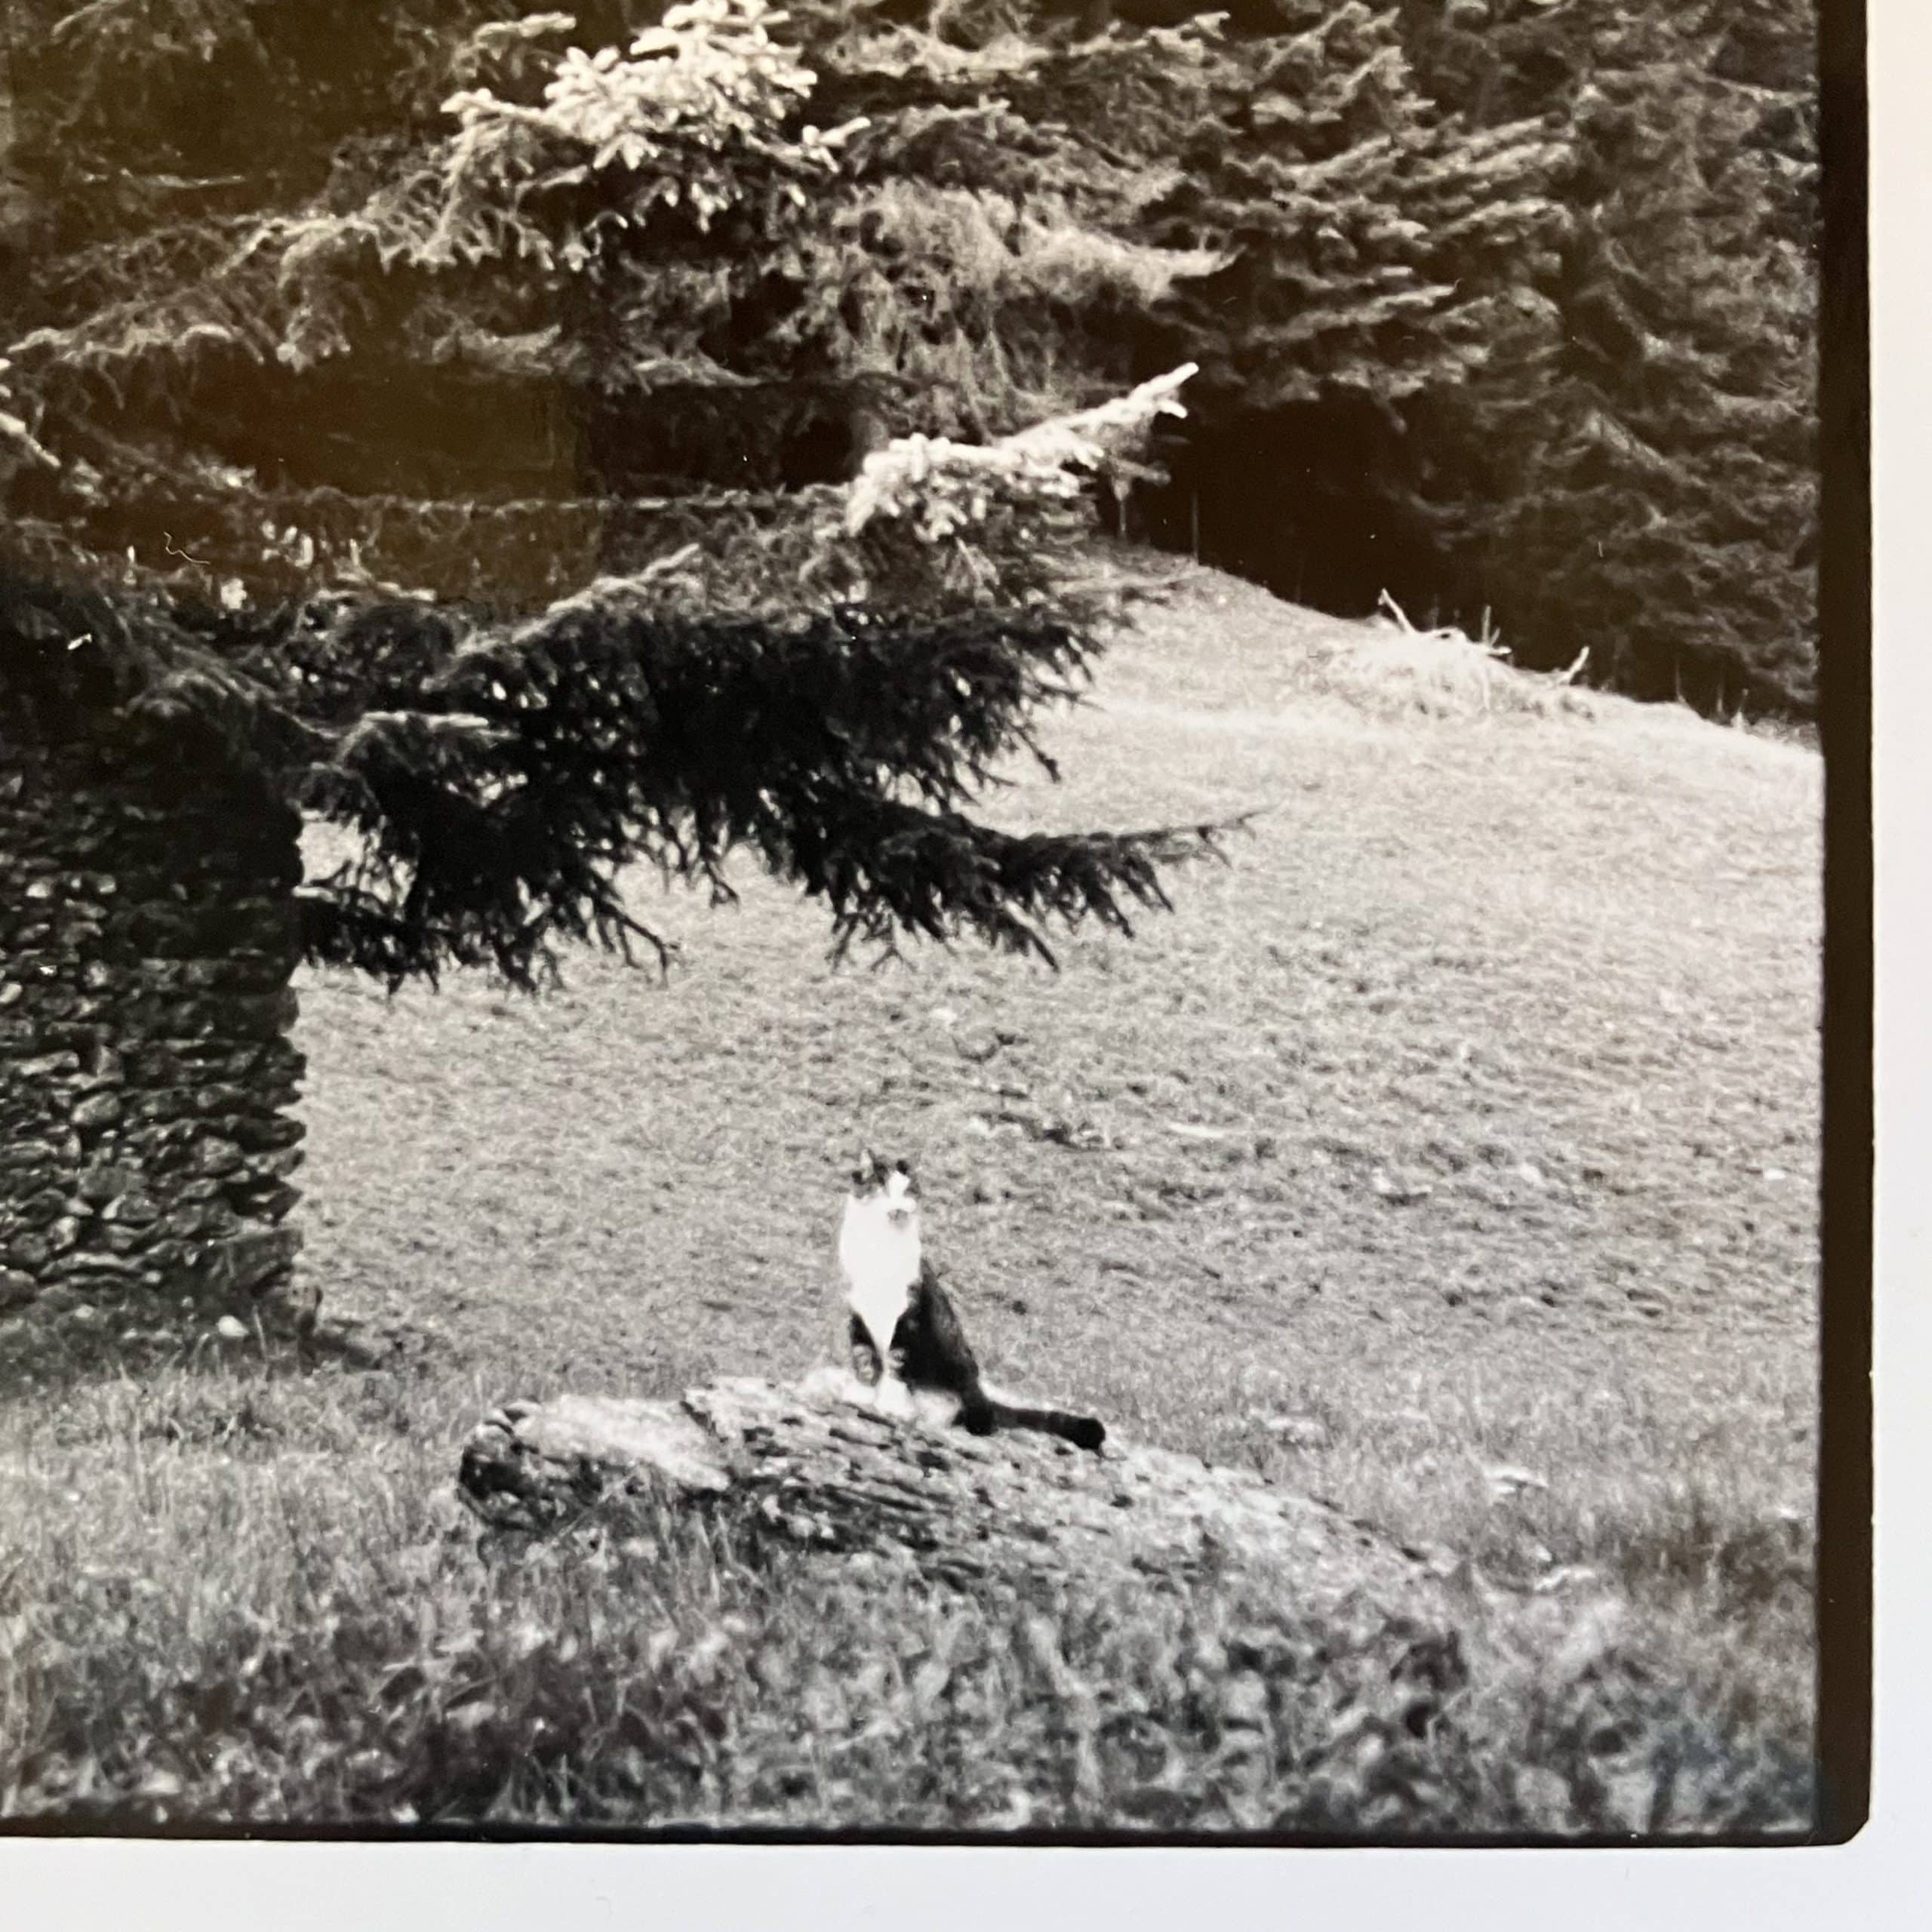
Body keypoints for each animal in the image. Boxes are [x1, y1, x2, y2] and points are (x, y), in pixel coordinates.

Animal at [838, 1143, 1112, 1453]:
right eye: (882, 1188)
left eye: (909, 1191)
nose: (899, 1209)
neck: (878, 1250)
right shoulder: (858, 1314)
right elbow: (865, 1359)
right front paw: (862, 1394)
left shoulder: (908, 1317)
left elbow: (896, 1364)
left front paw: (891, 1405)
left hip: (962, 1372)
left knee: (981, 1416)